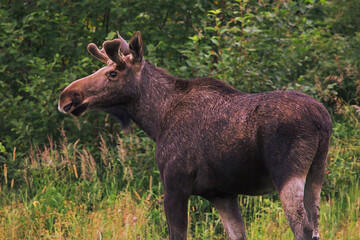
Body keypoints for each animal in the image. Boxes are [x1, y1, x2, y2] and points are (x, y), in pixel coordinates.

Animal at [58, 31, 332, 240]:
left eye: (113, 73)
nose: (66, 96)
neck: (156, 120)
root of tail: (323, 120)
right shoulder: (221, 194)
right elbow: (236, 233)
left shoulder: (175, 185)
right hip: (316, 173)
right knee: (316, 225)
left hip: (287, 172)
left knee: (303, 228)